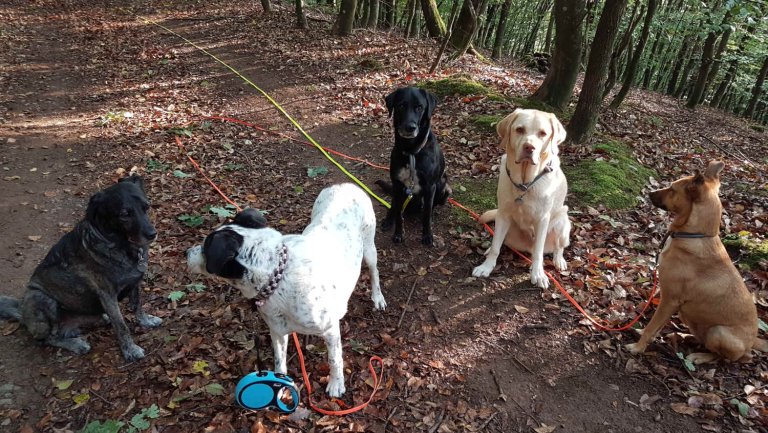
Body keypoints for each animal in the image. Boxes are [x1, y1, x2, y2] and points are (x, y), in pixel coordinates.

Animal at [0, 176, 160, 362]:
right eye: (124, 214)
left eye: (146, 207)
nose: (152, 234)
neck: (119, 245)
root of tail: (21, 310)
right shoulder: (107, 294)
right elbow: (121, 326)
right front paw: (130, 350)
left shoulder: (134, 284)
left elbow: (137, 305)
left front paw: (146, 321)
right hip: (39, 297)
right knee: (47, 338)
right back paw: (76, 344)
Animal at [188, 184, 384, 396]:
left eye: (205, 248)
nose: (186, 253)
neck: (277, 276)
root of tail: (345, 184)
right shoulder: (277, 331)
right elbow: (279, 364)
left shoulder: (330, 329)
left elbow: (334, 360)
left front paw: (336, 384)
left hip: (369, 248)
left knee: (374, 272)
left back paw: (377, 297)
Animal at [378, 86, 450, 245]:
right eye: (401, 106)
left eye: (419, 107)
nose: (410, 127)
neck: (411, 151)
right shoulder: (397, 185)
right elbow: (399, 215)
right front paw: (398, 234)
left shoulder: (430, 187)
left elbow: (427, 215)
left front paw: (427, 235)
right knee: (393, 206)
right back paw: (388, 219)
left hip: (446, 187)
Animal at [628, 160, 764, 362]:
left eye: (672, 189)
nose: (649, 192)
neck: (696, 234)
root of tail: (752, 342)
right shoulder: (669, 301)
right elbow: (656, 326)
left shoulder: (669, 299)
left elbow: (653, 326)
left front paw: (638, 347)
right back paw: (687, 336)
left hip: (719, 332)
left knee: (721, 357)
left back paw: (699, 356)